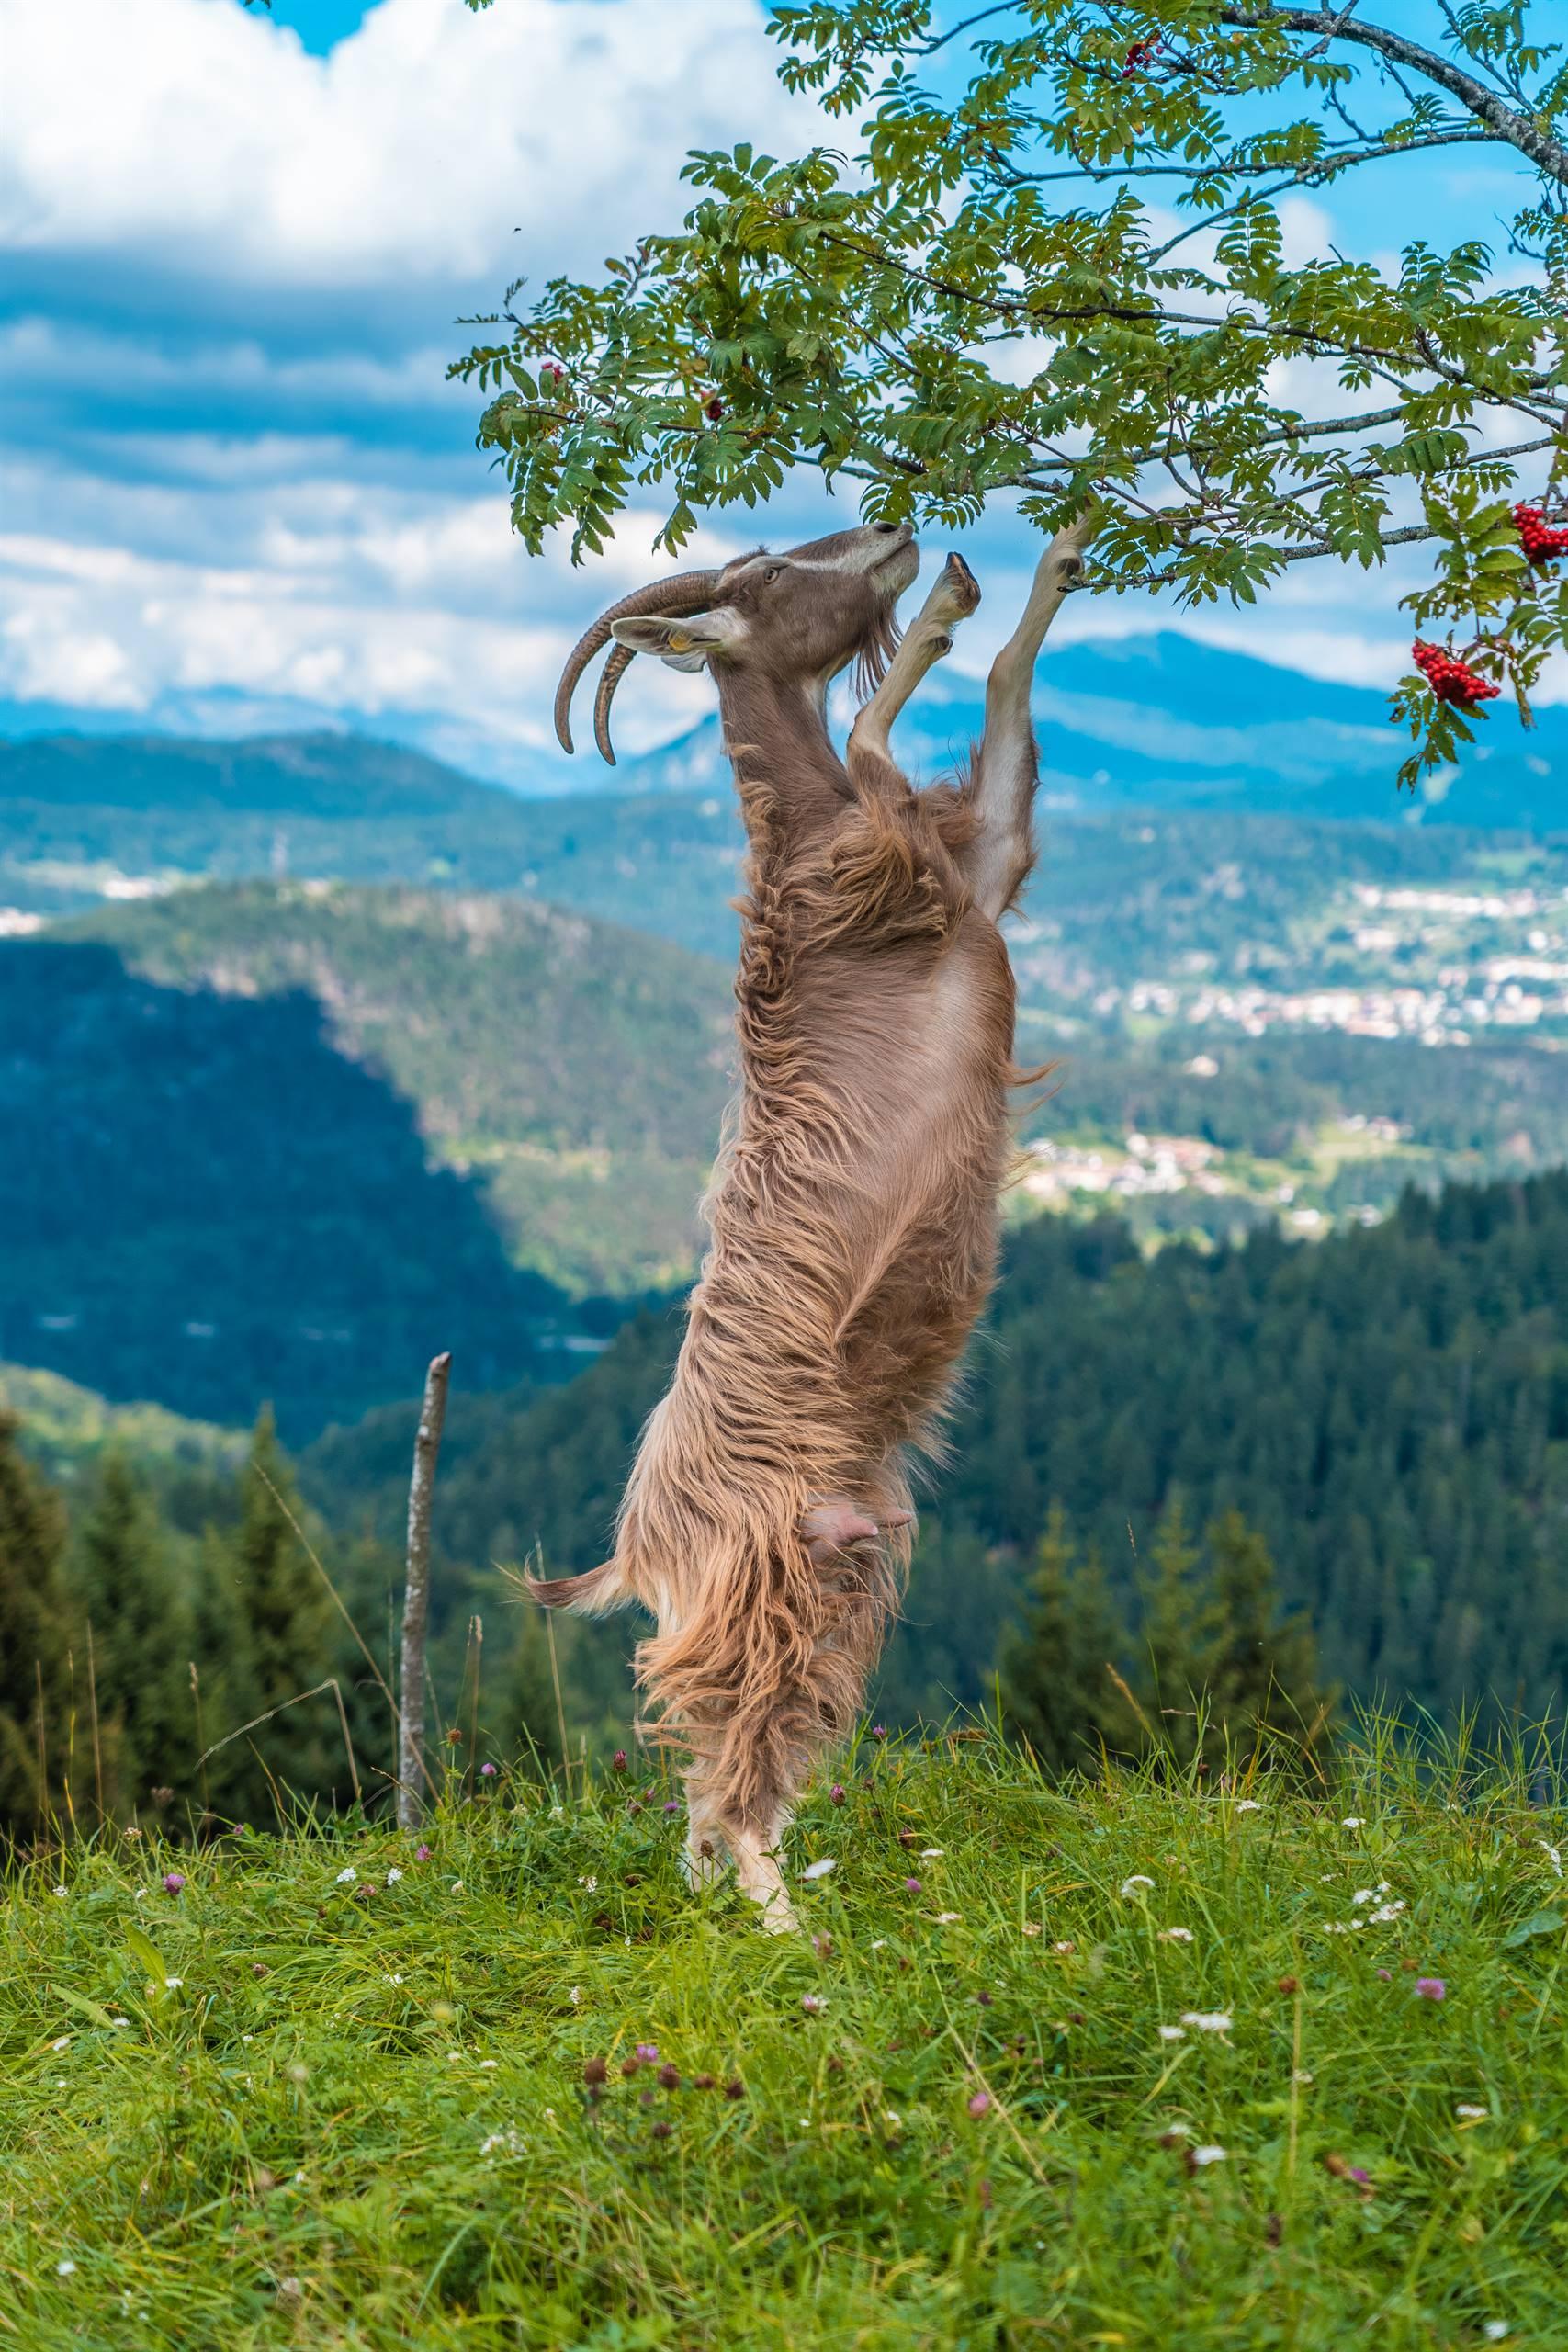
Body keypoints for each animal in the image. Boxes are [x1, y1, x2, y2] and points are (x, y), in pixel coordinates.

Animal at [533, 514, 1100, 1928]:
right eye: (772, 570)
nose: (895, 531)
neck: (803, 834)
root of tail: (637, 1544)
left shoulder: (980, 865)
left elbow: (1005, 713)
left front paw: (1047, 558)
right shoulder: (893, 858)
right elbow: (876, 734)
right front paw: (944, 615)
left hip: (845, 1571)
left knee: (736, 1767)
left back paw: (756, 1904)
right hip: (765, 1577)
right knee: (724, 1759)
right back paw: (792, 1935)